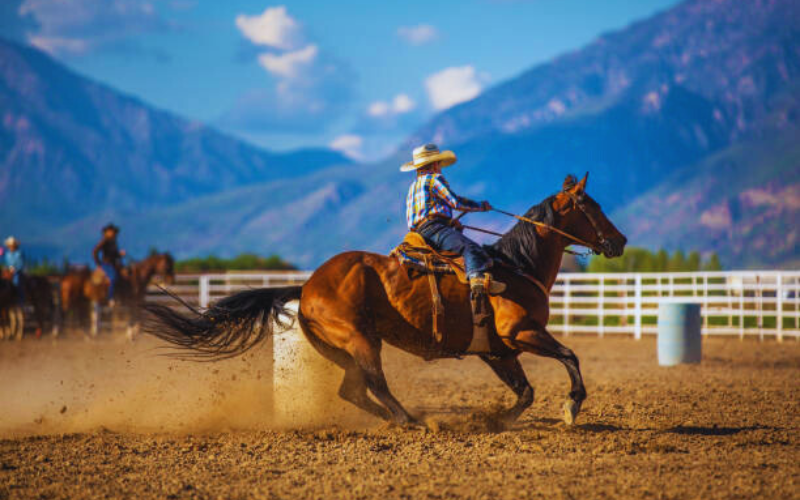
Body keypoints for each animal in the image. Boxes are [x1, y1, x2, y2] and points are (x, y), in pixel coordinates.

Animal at [147, 175, 628, 426]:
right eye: (591, 205)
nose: (619, 240)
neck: (515, 267)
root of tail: (307, 287)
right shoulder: (523, 333)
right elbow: (570, 357)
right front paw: (571, 406)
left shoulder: (497, 350)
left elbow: (526, 391)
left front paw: (496, 421)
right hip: (360, 340)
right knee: (374, 384)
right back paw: (412, 420)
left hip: (346, 347)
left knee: (353, 389)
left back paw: (397, 420)